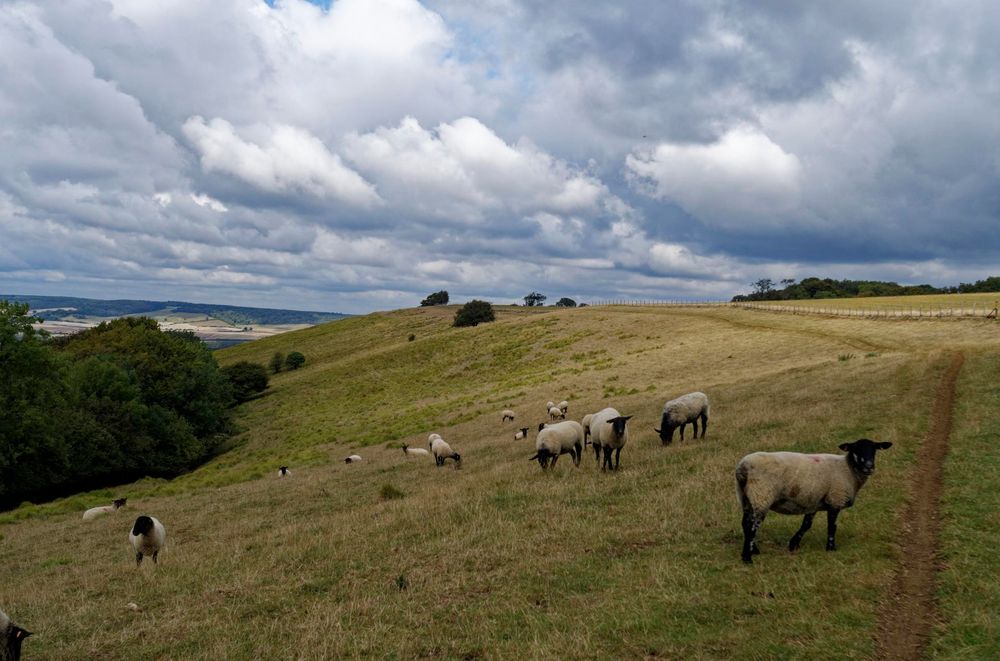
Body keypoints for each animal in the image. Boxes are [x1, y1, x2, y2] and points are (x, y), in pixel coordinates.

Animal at [735, 438, 893, 563]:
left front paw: (793, 544)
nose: (869, 467)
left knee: (745, 523)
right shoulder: (835, 499)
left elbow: (806, 525)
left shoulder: (814, 502)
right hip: (761, 496)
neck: (848, 469)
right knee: (752, 527)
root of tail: (743, 467)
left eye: (874, 450)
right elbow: (832, 527)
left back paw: (754, 550)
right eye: (856, 449)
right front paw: (831, 548)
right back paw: (747, 557)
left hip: (746, 497)